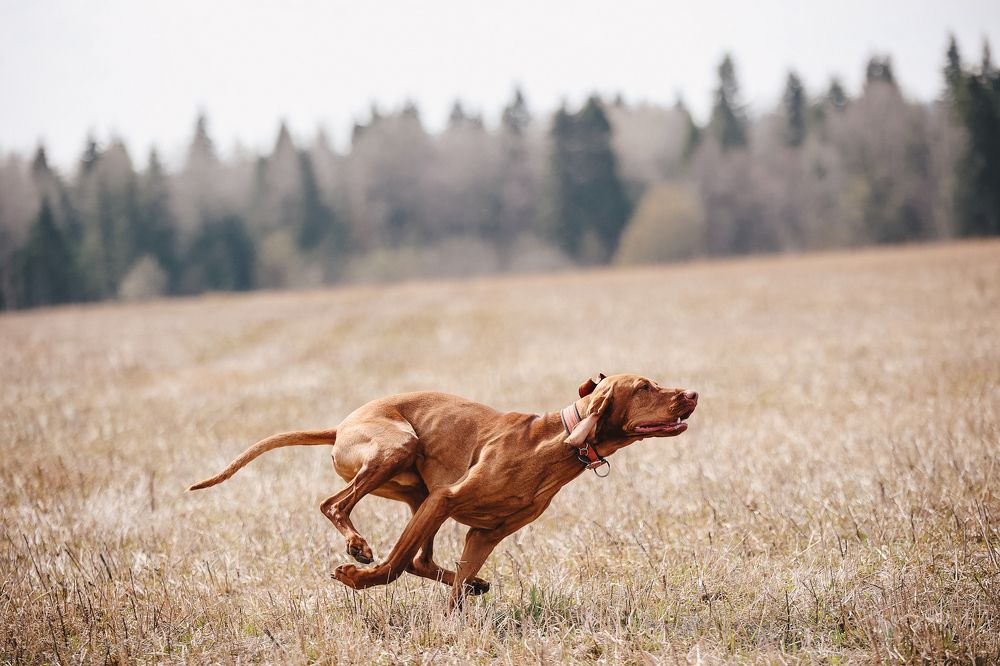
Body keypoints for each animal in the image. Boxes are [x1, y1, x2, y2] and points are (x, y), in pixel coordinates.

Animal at [188, 373, 698, 607]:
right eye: (645, 385)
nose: (693, 393)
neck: (553, 444)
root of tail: (342, 425)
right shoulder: (446, 499)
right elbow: (393, 568)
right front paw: (358, 579)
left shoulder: (484, 534)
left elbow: (440, 581)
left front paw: (458, 610)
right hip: (401, 451)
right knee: (335, 506)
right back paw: (358, 548)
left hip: (416, 495)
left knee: (422, 560)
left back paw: (473, 584)